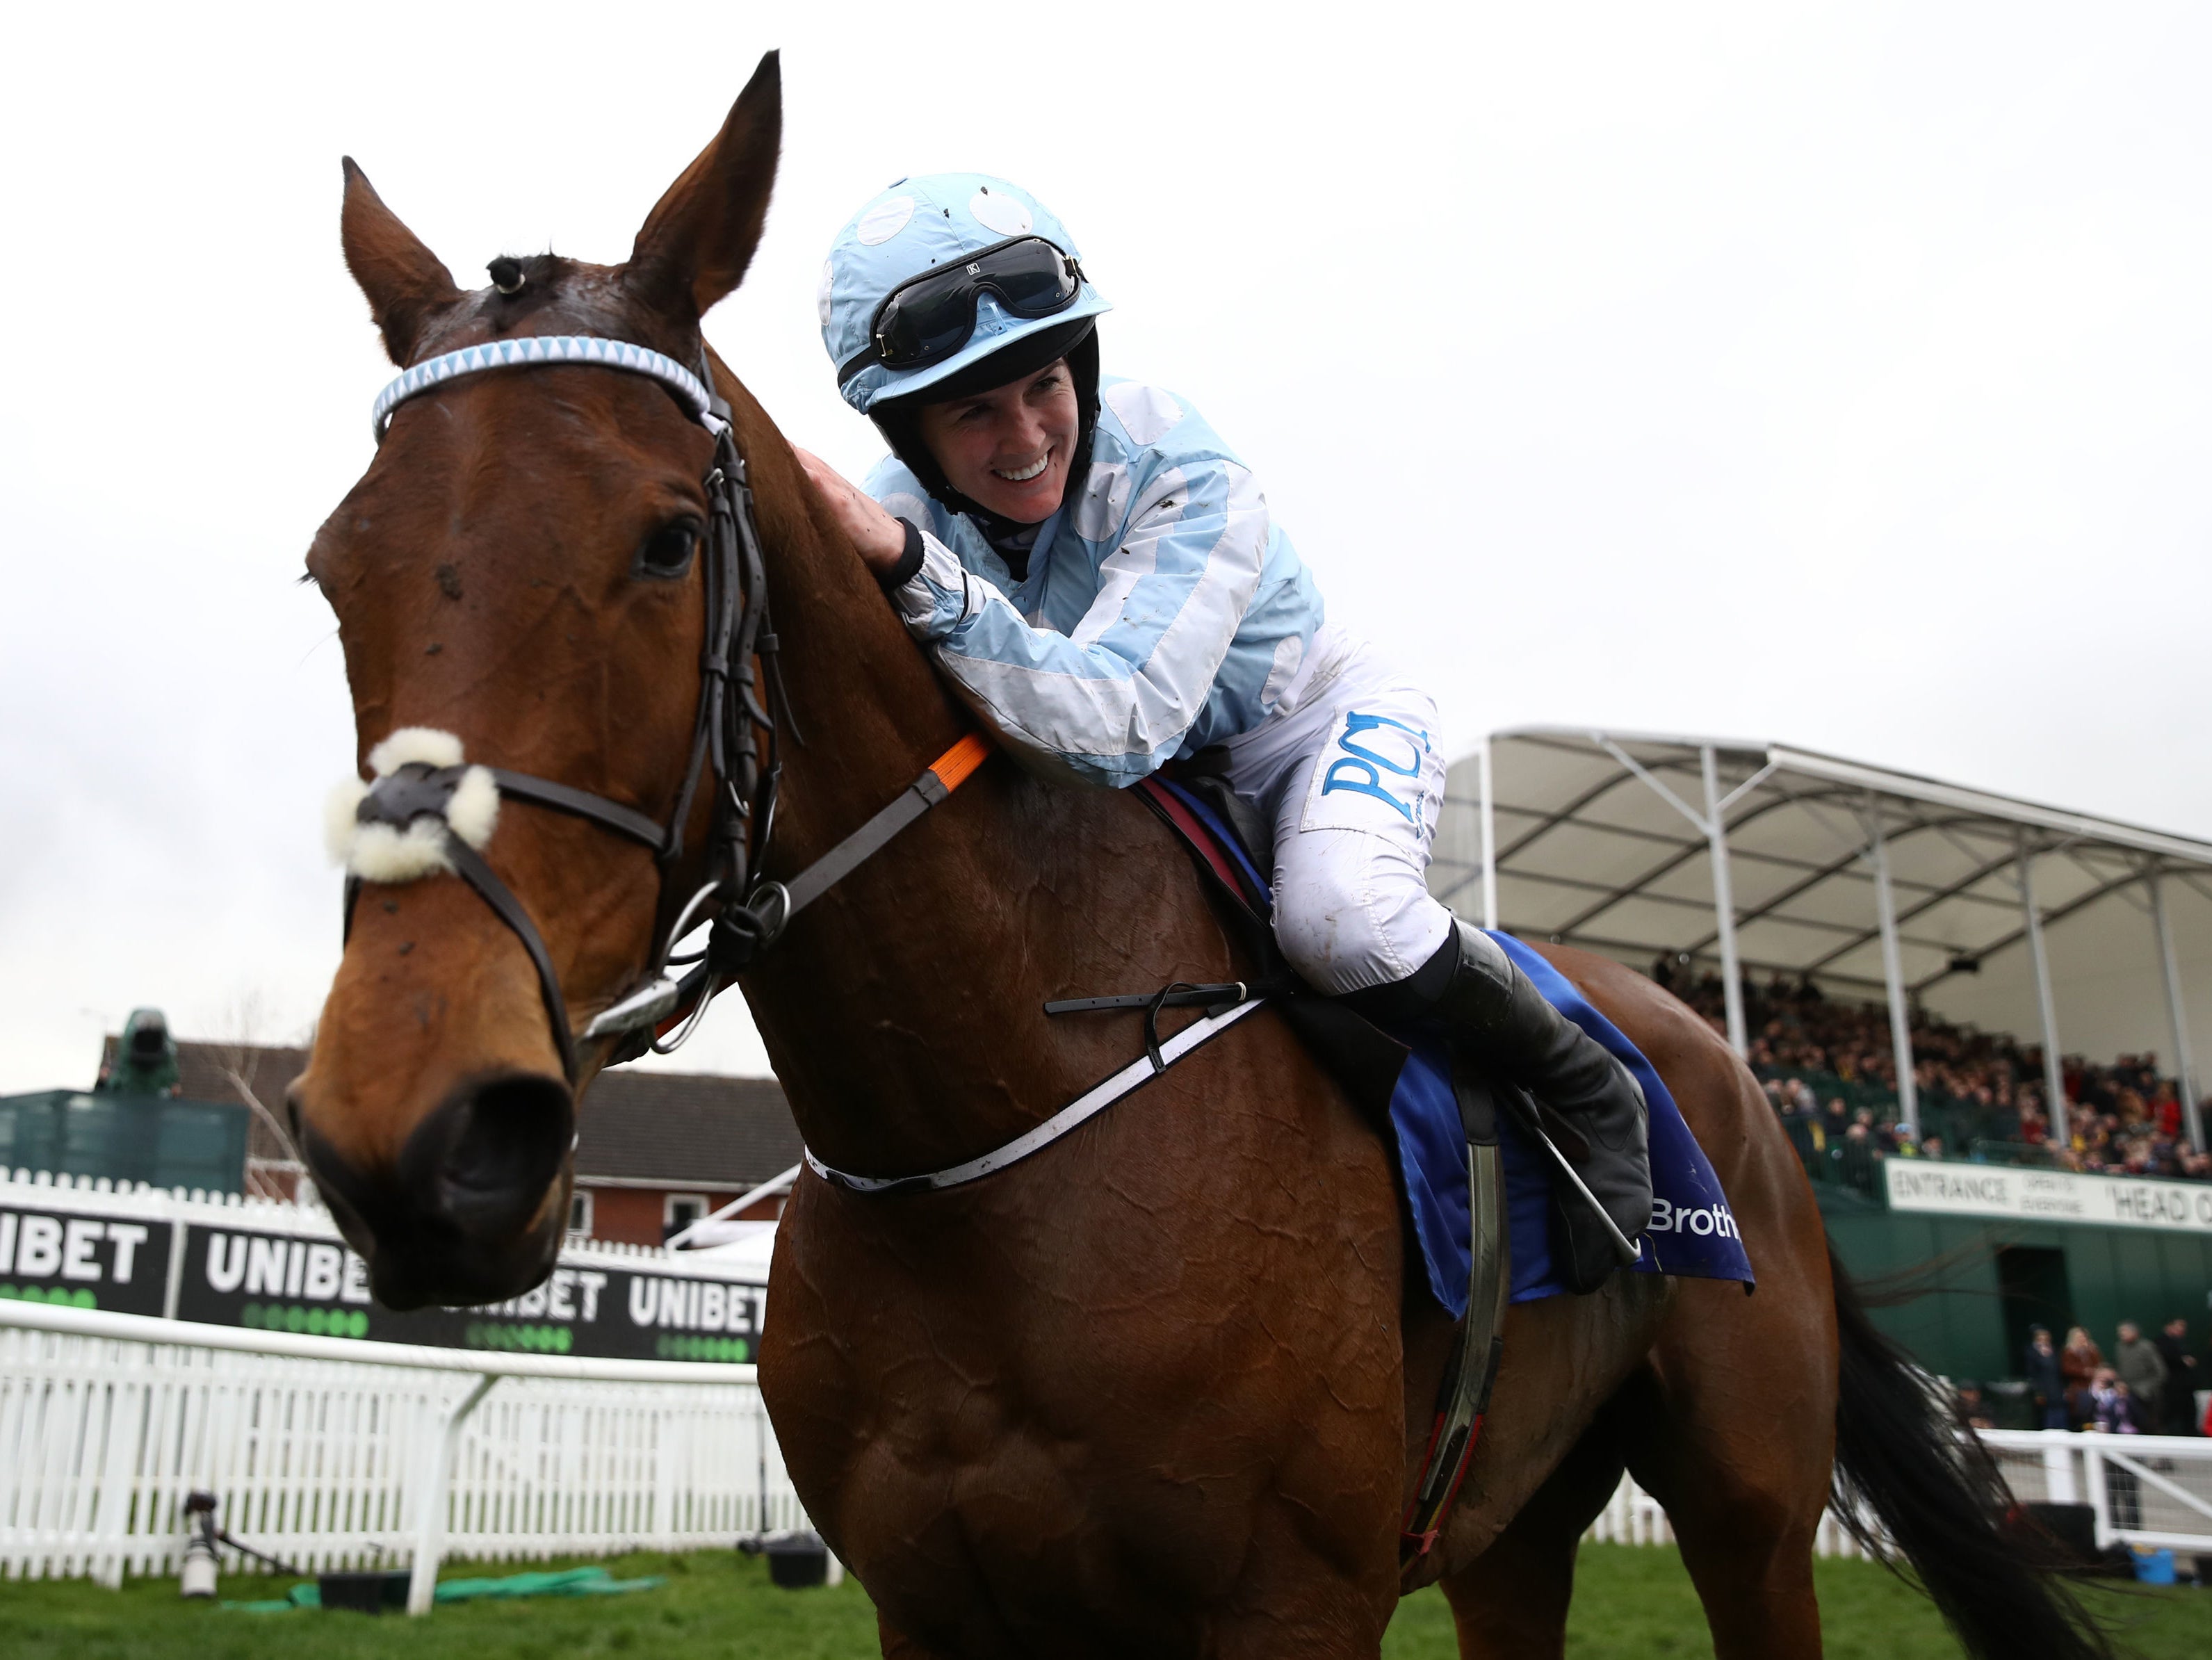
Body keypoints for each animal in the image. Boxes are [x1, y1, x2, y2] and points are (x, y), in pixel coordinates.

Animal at [294, 55, 2106, 1660]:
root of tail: (1723, 1063)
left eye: (668, 541)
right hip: (1513, 1519)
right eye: (332, 569)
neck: (978, 1136)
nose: (418, 1137)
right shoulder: (933, 1610)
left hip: (1746, 1505)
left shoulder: (1290, 1603)